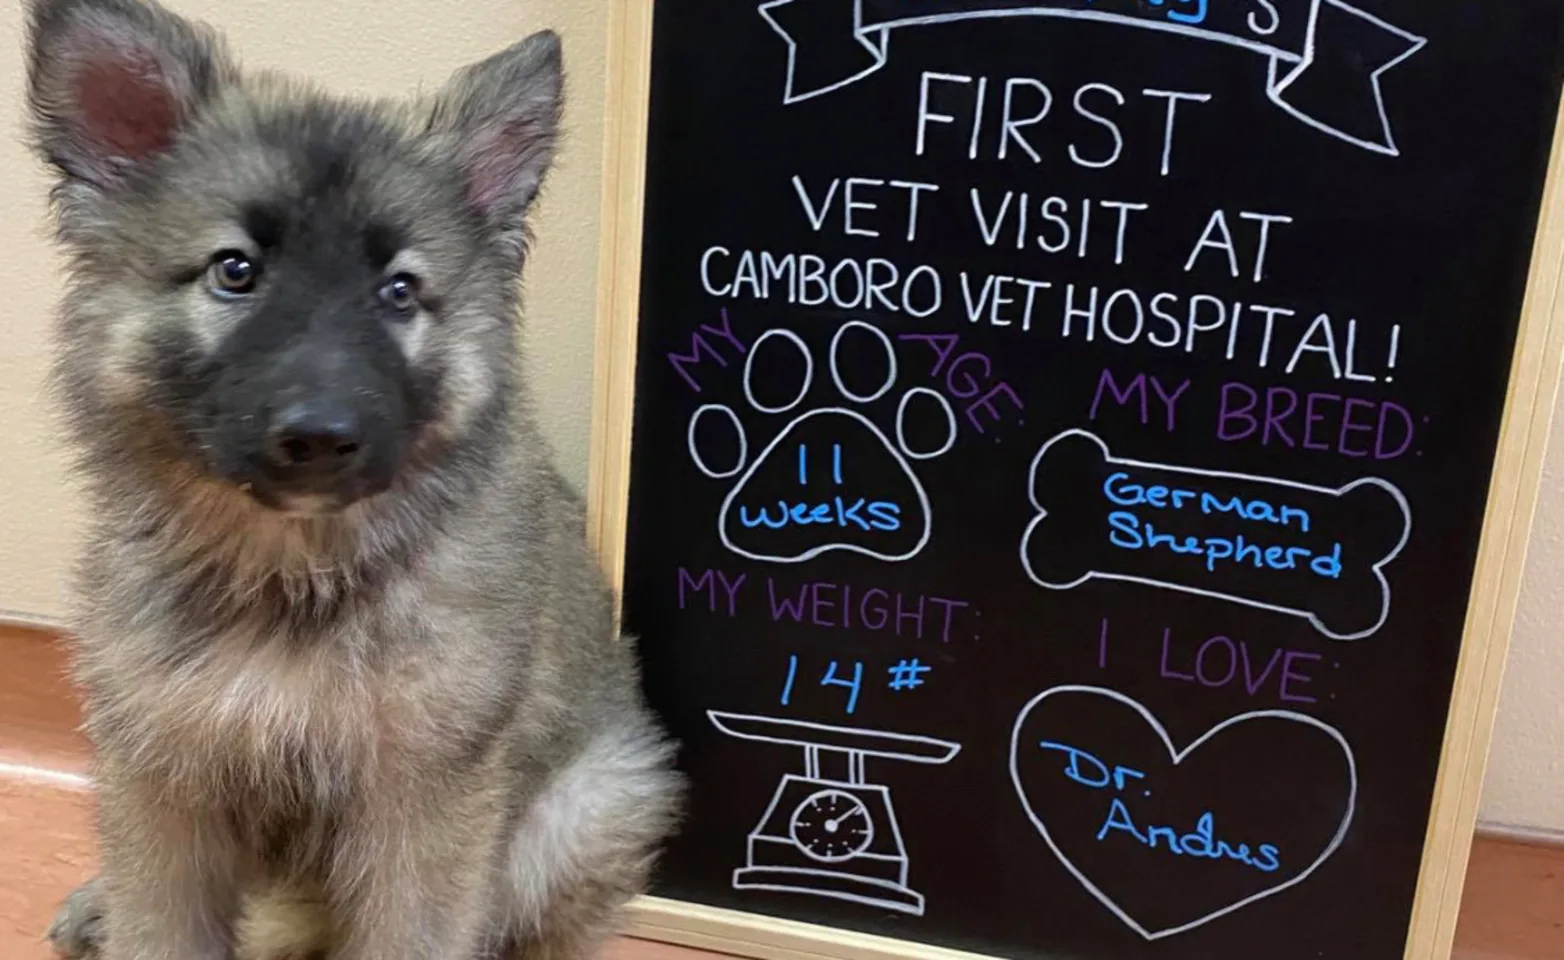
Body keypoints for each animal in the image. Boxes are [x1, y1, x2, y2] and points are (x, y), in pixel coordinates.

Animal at [18, 1, 678, 960]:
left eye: (399, 291)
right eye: (236, 271)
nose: (322, 438)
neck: (290, 569)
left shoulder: (421, 806)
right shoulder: (163, 780)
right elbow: (160, 925)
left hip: (583, 810)